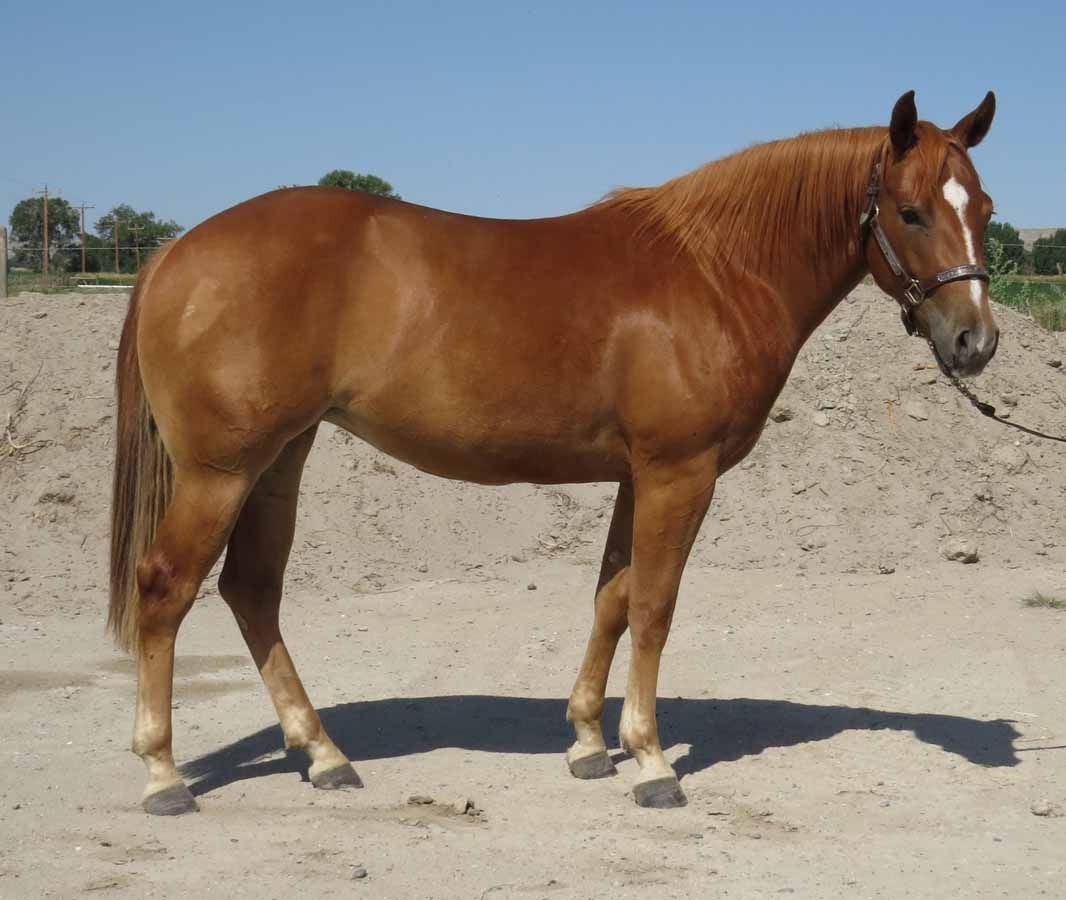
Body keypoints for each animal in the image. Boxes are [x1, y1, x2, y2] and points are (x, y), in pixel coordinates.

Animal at [109, 90, 999, 815]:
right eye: (911, 212)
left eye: (985, 207)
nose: (975, 341)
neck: (716, 270)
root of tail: (172, 254)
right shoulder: (680, 473)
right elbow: (654, 606)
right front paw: (650, 761)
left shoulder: (638, 477)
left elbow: (611, 598)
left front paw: (589, 744)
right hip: (221, 473)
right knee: (166, 588)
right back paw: (163, 775)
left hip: (278, 463)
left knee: (251, 591)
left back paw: (324, 755)